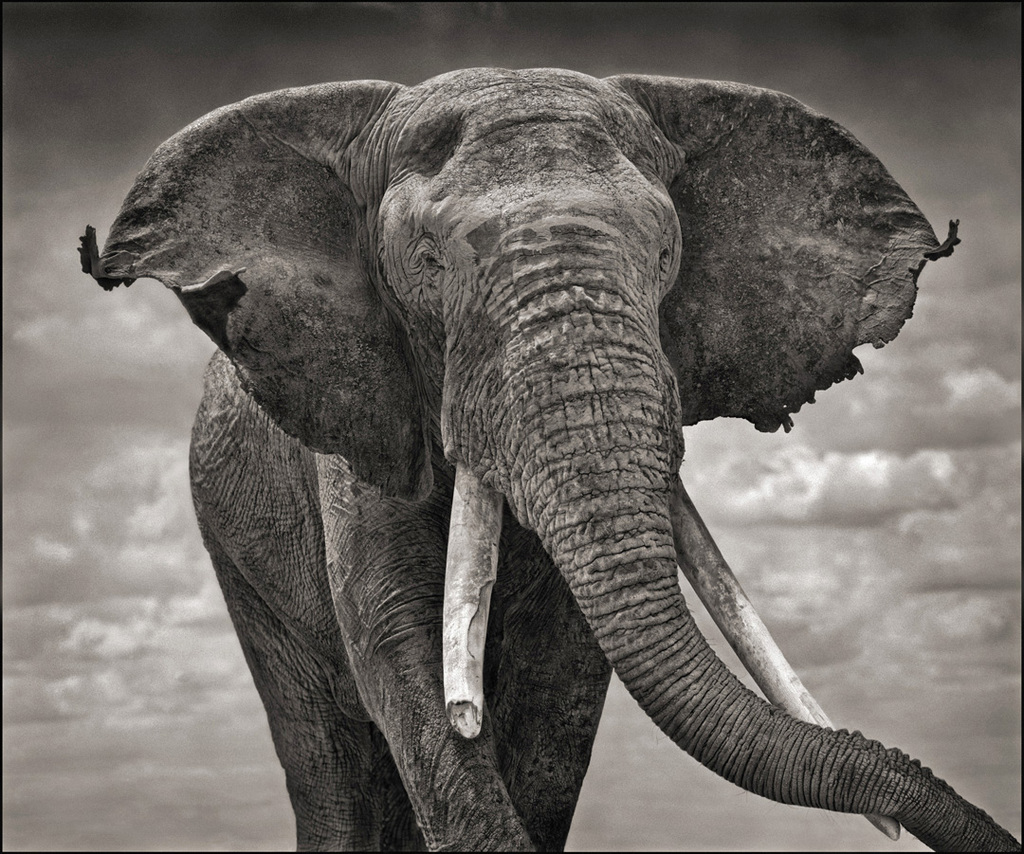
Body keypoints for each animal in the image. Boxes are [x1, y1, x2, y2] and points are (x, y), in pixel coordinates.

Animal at [79, 68, 1020, 852]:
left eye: (667, 257)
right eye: (428, 265)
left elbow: (563, 683)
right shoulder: (359, 415)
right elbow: (398, 647)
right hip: (240, 553)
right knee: (328, 762)